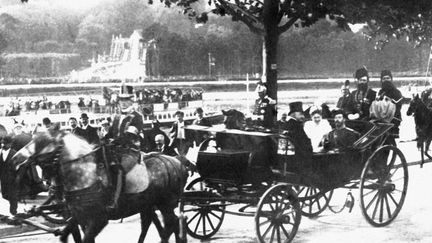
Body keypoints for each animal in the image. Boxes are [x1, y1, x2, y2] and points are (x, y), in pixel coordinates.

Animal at [12, 127, 188, 243]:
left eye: (42, 142)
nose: (16, 159)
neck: (85, 177)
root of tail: (177, 163)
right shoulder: (79, 217)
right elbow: (67, 234)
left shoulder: (98, 220)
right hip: (148, 204)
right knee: (156, 223)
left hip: (165, 203)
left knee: (171, 222)